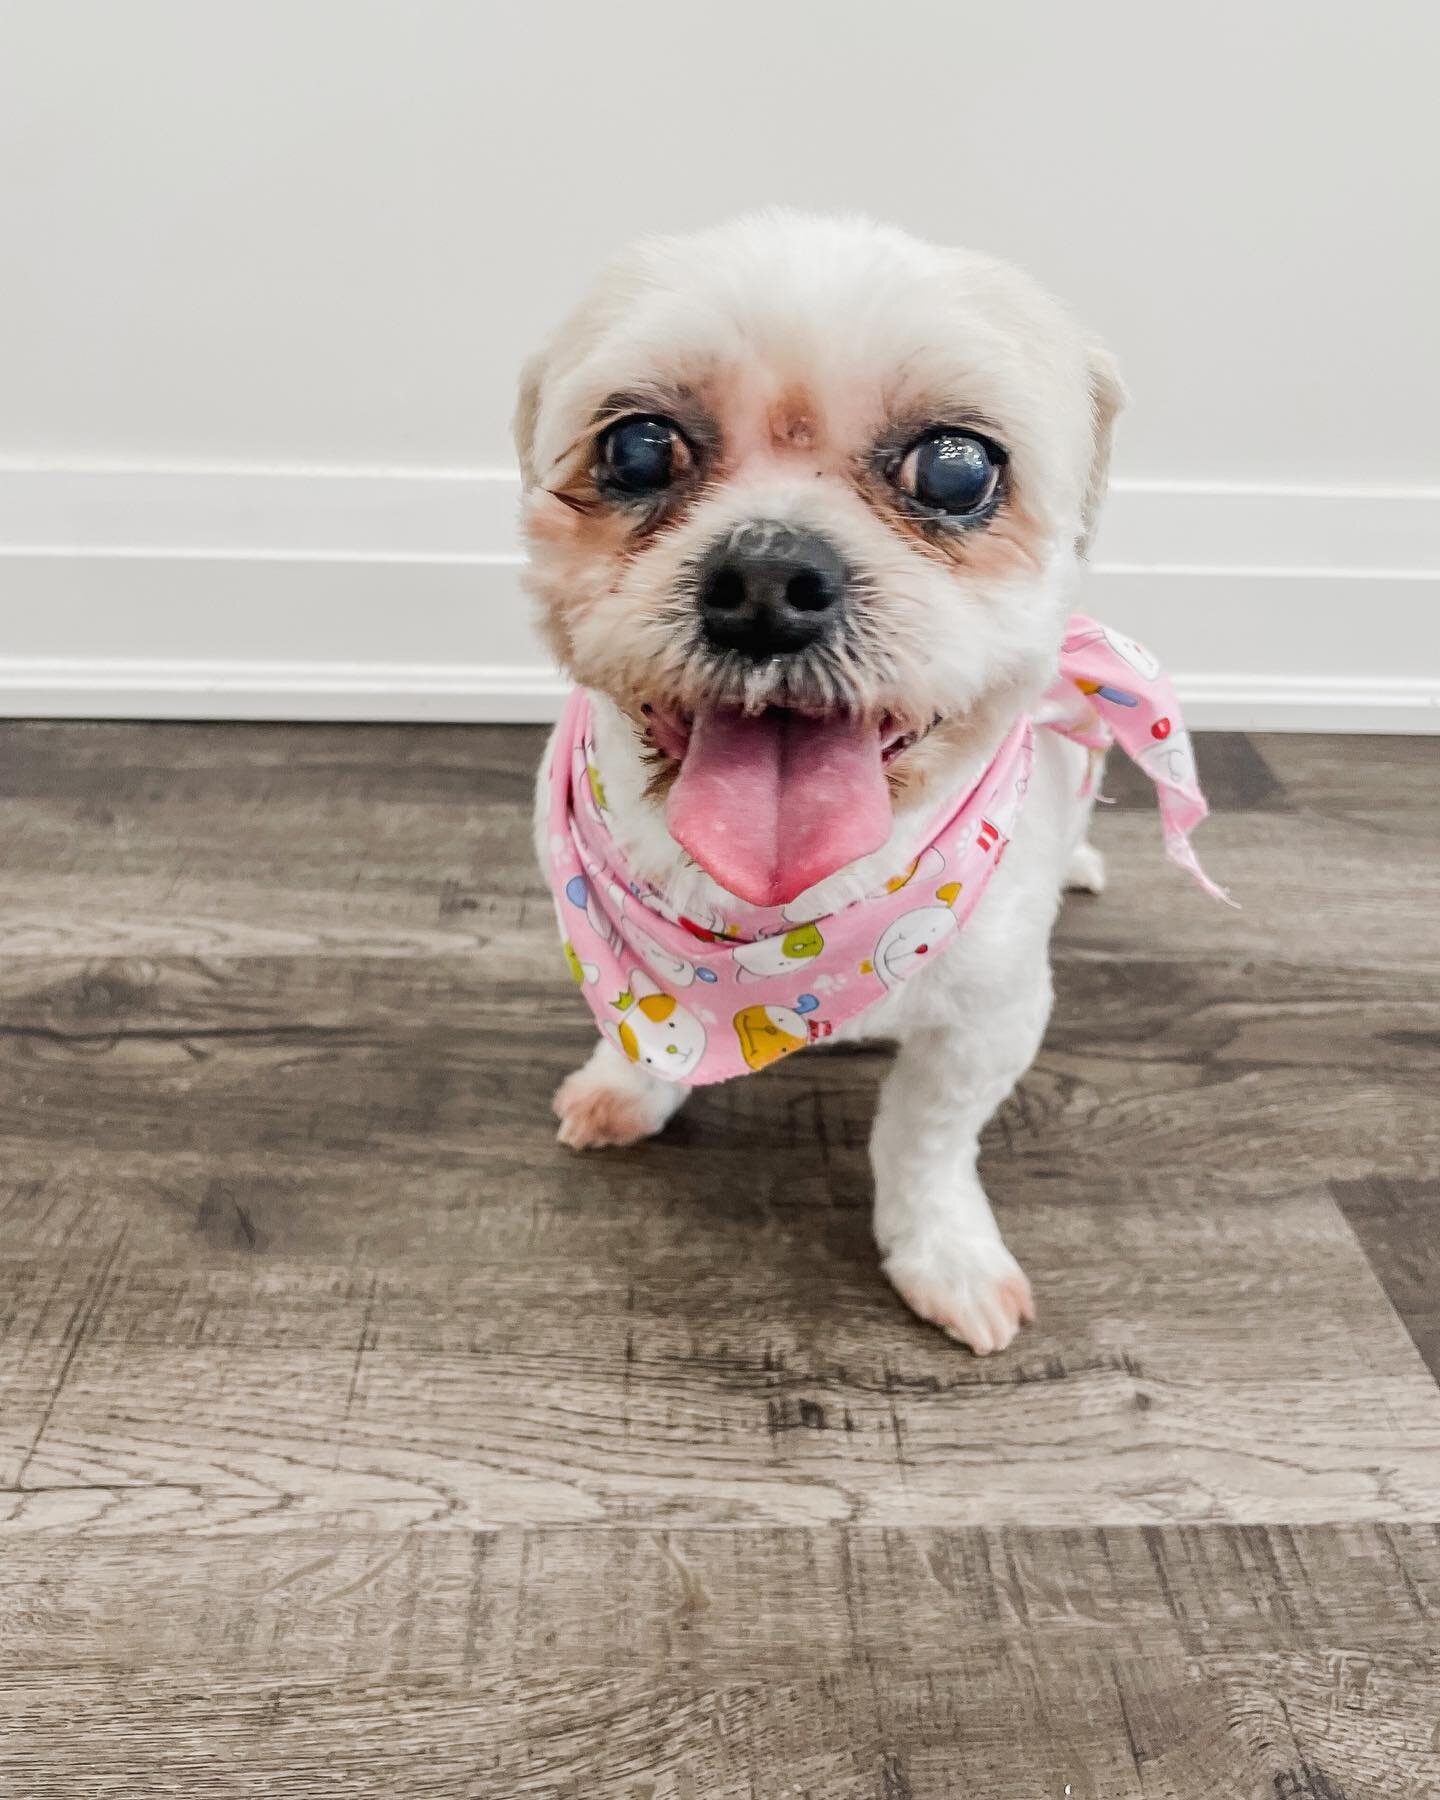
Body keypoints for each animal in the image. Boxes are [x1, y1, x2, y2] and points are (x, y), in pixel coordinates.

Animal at [511, 210, 1130, 1353]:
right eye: (636, 448)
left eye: (957, 469)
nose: (765, 579)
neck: (784, 923)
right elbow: (642, 1035)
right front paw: (629, 1091)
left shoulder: (990, 1020)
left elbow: (925, 1144)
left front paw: (946, 1257)